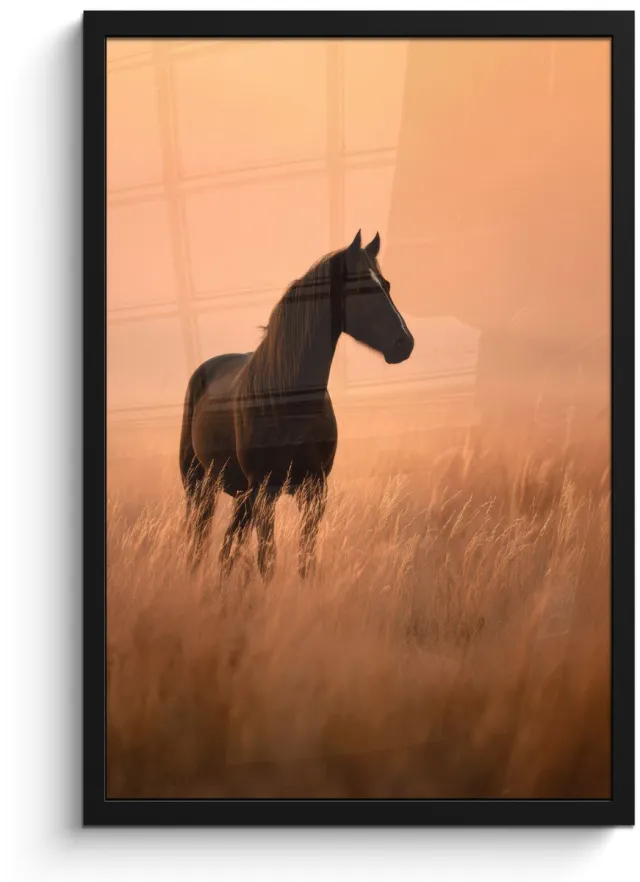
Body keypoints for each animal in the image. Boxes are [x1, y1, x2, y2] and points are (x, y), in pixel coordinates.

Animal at [179, 229, 414, 581]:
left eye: (385, 285)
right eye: (361, 286)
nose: (404, 343)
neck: (286, 401)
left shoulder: (314, 490)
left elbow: (306, 560)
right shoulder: (265, 491)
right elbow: (268, 561)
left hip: (240, 494)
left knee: (226, 547)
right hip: (201, 485)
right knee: (201, 542)